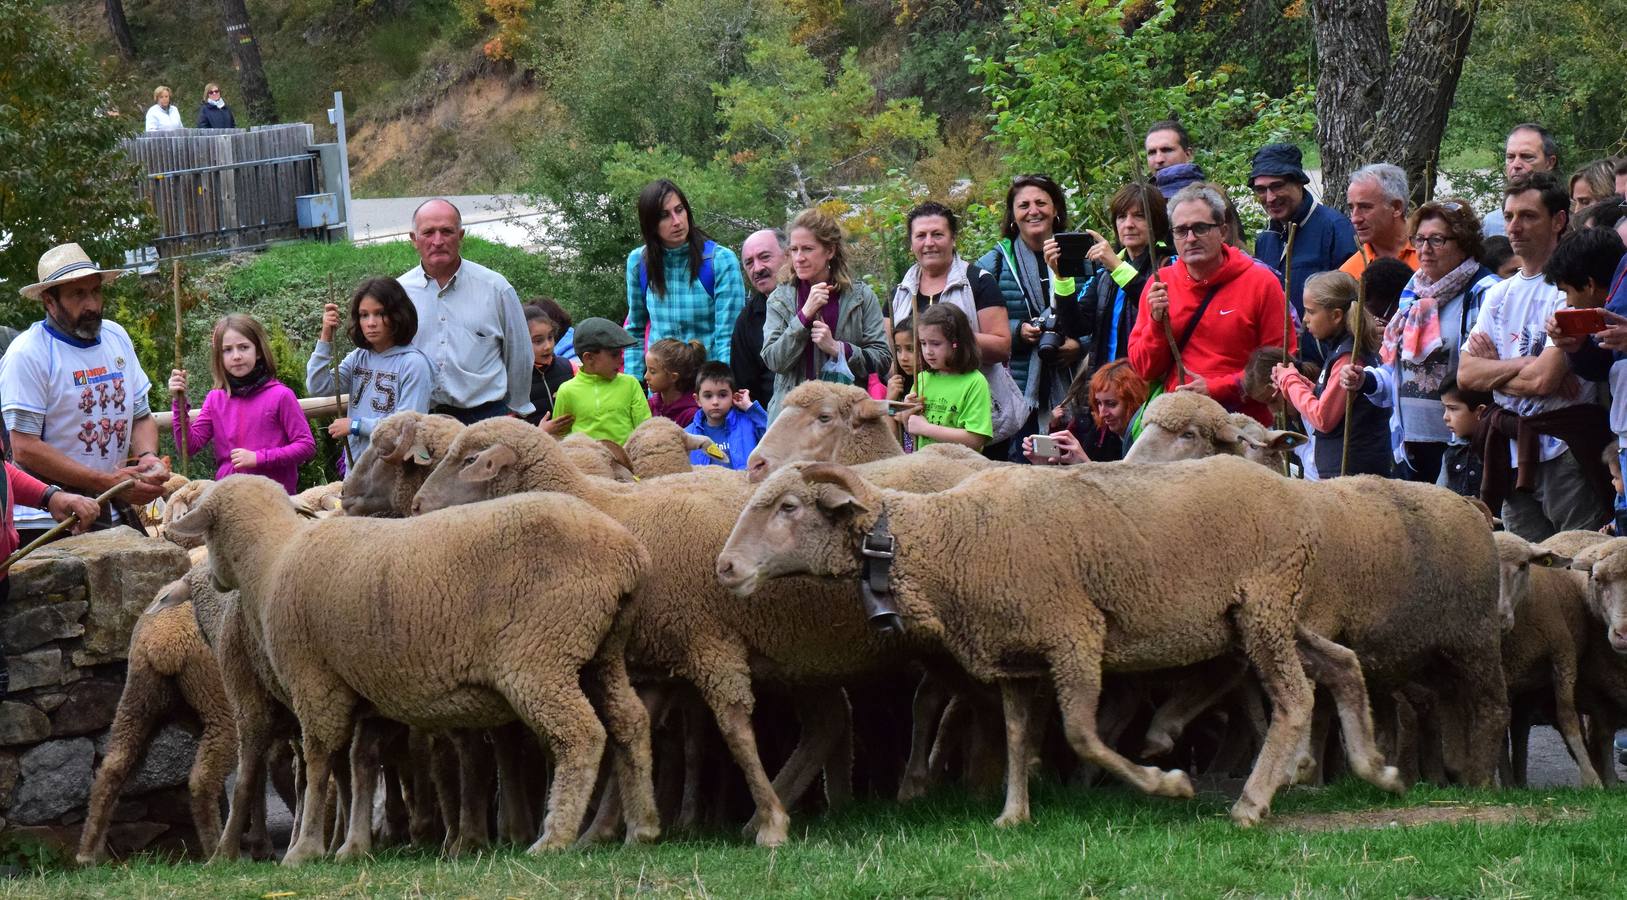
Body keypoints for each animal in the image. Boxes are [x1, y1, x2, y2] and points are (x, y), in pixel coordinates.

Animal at [158, 478, 654, 865]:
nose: (215, 580)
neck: (272, 559)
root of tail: (628, 554)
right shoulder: (366, 691)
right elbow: (358, 765)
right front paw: (351, 846)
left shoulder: (315, 683)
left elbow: (319, 763)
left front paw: (304, 850)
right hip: (600, 656)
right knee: (630, 722)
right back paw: (641, 827)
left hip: (542, 656)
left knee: (581, 734)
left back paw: (555, 837)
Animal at [719, 458, 1405, 823]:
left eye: (787, 508)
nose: (724, 568)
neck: (946, 542)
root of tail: (1301, 495)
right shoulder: (1016, 660)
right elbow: (1019, 735)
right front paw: (1012, 814)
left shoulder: (1074, 633)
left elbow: (1079, 734)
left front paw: (1166, 784)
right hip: (1263, 615)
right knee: (1342, 666)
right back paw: (1377, 769)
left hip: (1265, 603)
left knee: (1294, 698)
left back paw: (1252, 801)